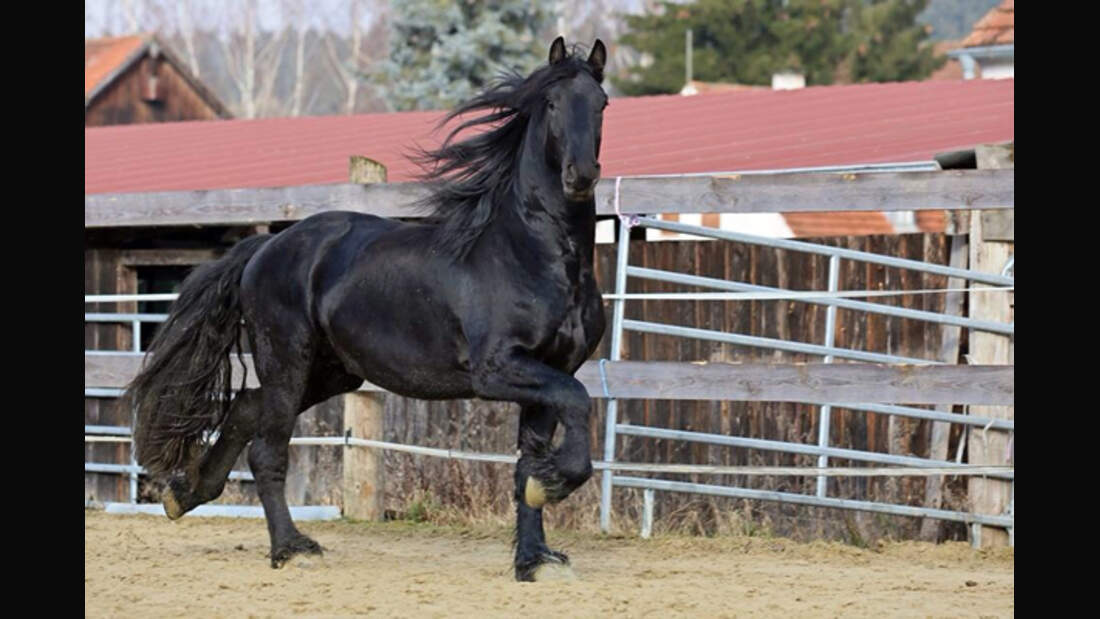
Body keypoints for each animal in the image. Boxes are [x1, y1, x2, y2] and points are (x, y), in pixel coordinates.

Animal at [125, 37, 616, 580]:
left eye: (601, 104)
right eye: (551, 103)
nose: (581, 176)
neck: (530, 255)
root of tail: (264, 248)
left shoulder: (551, 370)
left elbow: (528, 462)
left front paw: (536, 559)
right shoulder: (500, 369)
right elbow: (577, 402)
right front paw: (556, 486)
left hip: (334, 371)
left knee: (244, 409)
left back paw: (184, 492)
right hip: (288, 360)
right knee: (266, 451)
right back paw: (291, 549)